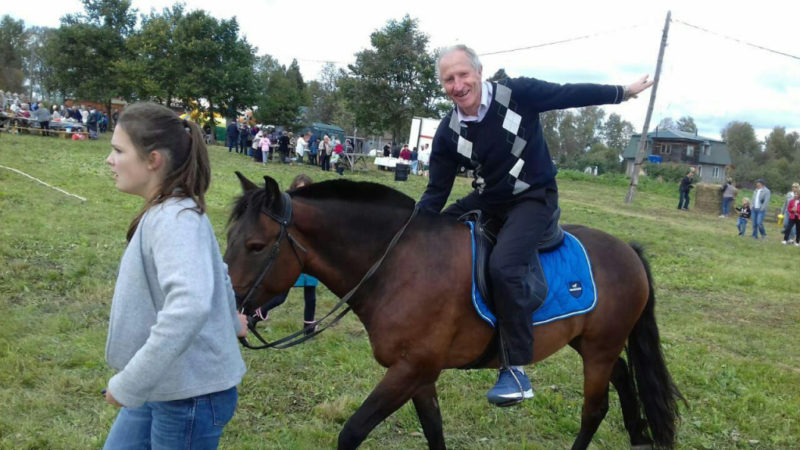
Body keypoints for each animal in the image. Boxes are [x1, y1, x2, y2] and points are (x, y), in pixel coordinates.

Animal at [223, 174, 680, 450]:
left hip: (599, 349)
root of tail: (628, 251)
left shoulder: (409, 371)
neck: (397, 264)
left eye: (256, 246)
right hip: (590, 344)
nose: (233, 311)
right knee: (623, 376)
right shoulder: (420, 375)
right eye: (229, 239)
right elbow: (434, 431)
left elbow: (351, 433)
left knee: (594, 409)